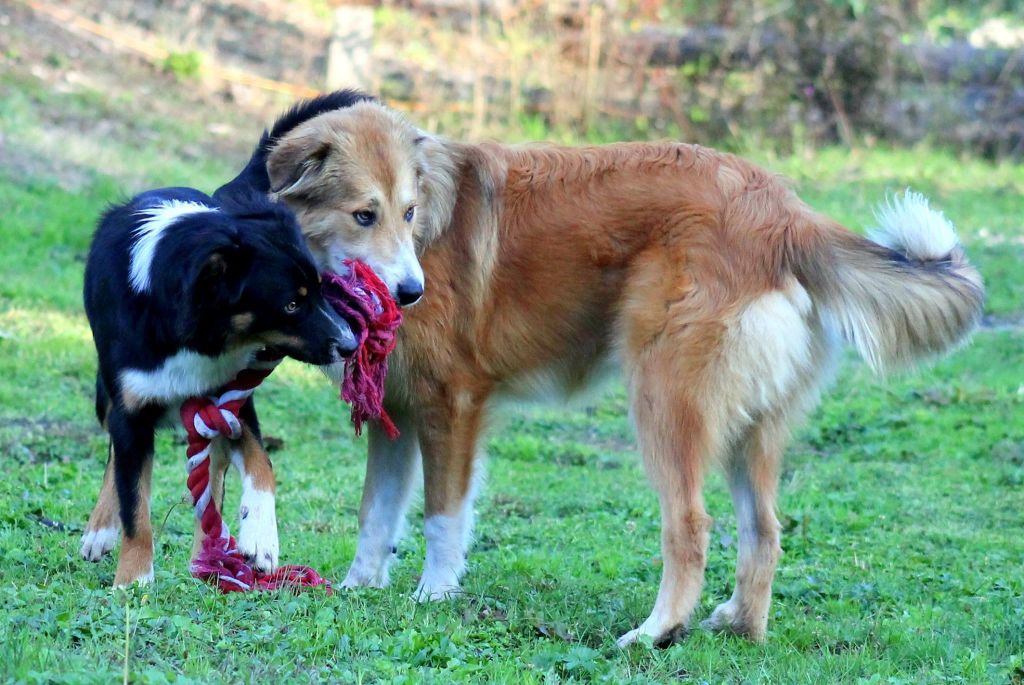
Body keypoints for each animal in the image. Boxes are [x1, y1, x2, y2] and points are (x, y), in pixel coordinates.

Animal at [79, 184, 354, 585]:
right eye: (290, 304)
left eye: (321, 289)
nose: (350, 345)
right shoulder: (131, 413)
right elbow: (134, 504)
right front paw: (133, 579)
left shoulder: (233, 400)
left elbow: (260, 463)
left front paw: (261, 537)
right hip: (107, 397)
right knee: (117, 460)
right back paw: (100, 530)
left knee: (214, 474)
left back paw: (207, 558)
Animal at [268, 101, 978, 647]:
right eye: (365, 214)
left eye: (409, 213)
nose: (410, 293)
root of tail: (784, 214)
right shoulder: (396, 409)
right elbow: (375, 514)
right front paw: (358, 587)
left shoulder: (452, 405)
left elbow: (443, 517)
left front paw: (434, 595)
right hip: (751, 428)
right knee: (765, 530)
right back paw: (740, 627)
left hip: (665, 401)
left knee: (691, 528)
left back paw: (656, 632)